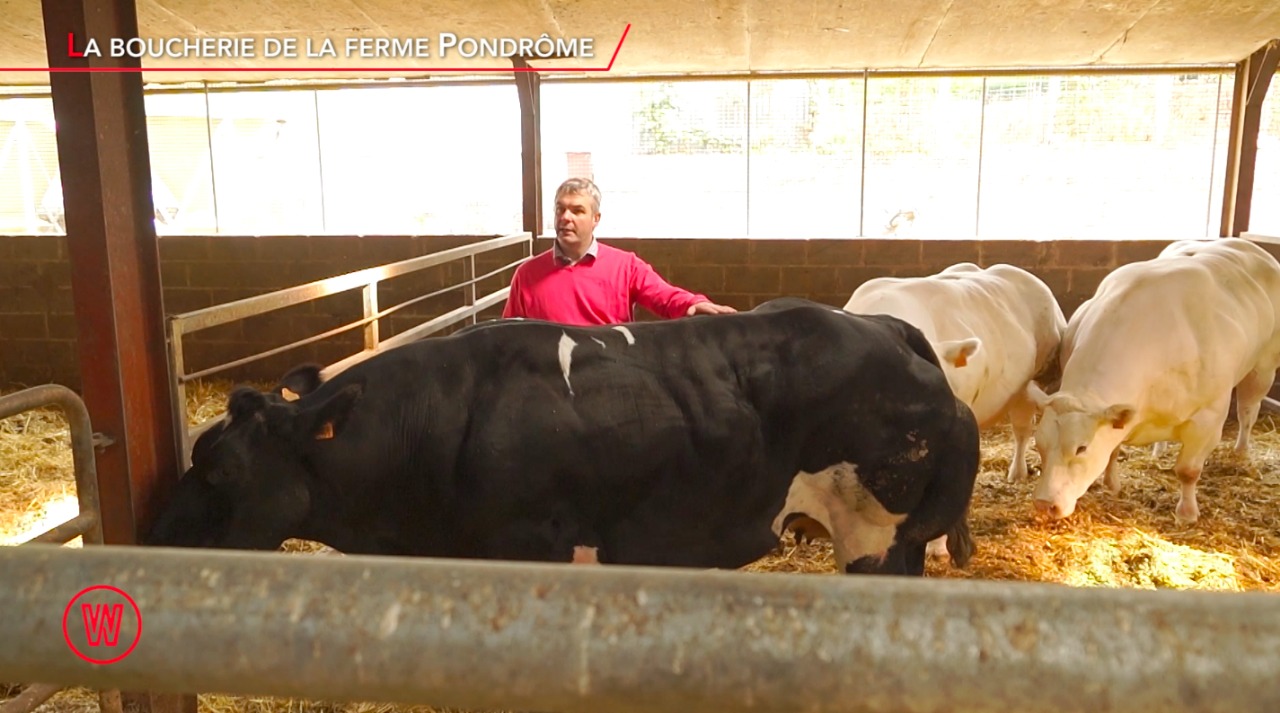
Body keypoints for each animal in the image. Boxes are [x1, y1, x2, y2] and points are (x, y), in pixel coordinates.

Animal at [1024, 239, 1280, 522]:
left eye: (1081, 448)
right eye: (1039, 444)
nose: (1044, 504)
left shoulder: (1208, 419)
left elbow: (1188, 470)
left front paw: (1187, 513)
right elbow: (1113, 449)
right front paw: (1112, 484)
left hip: (1264, 366)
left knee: (1248, 410)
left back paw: (1241, 450)